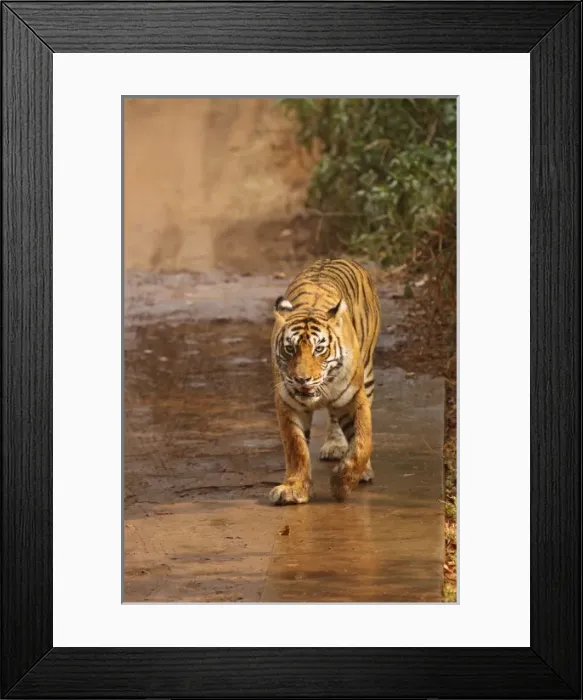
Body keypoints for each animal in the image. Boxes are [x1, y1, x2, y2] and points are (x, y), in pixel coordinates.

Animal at [270, 258, 381, 505]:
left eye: (319, 349)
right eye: (290, 349)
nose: (302, 379)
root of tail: (337, 257)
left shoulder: (354, 397)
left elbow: (362, 441)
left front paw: (343, 483)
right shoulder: (288, 402)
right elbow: (296, 447)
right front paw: (294, 488)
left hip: (367, 374)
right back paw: (334, 445)